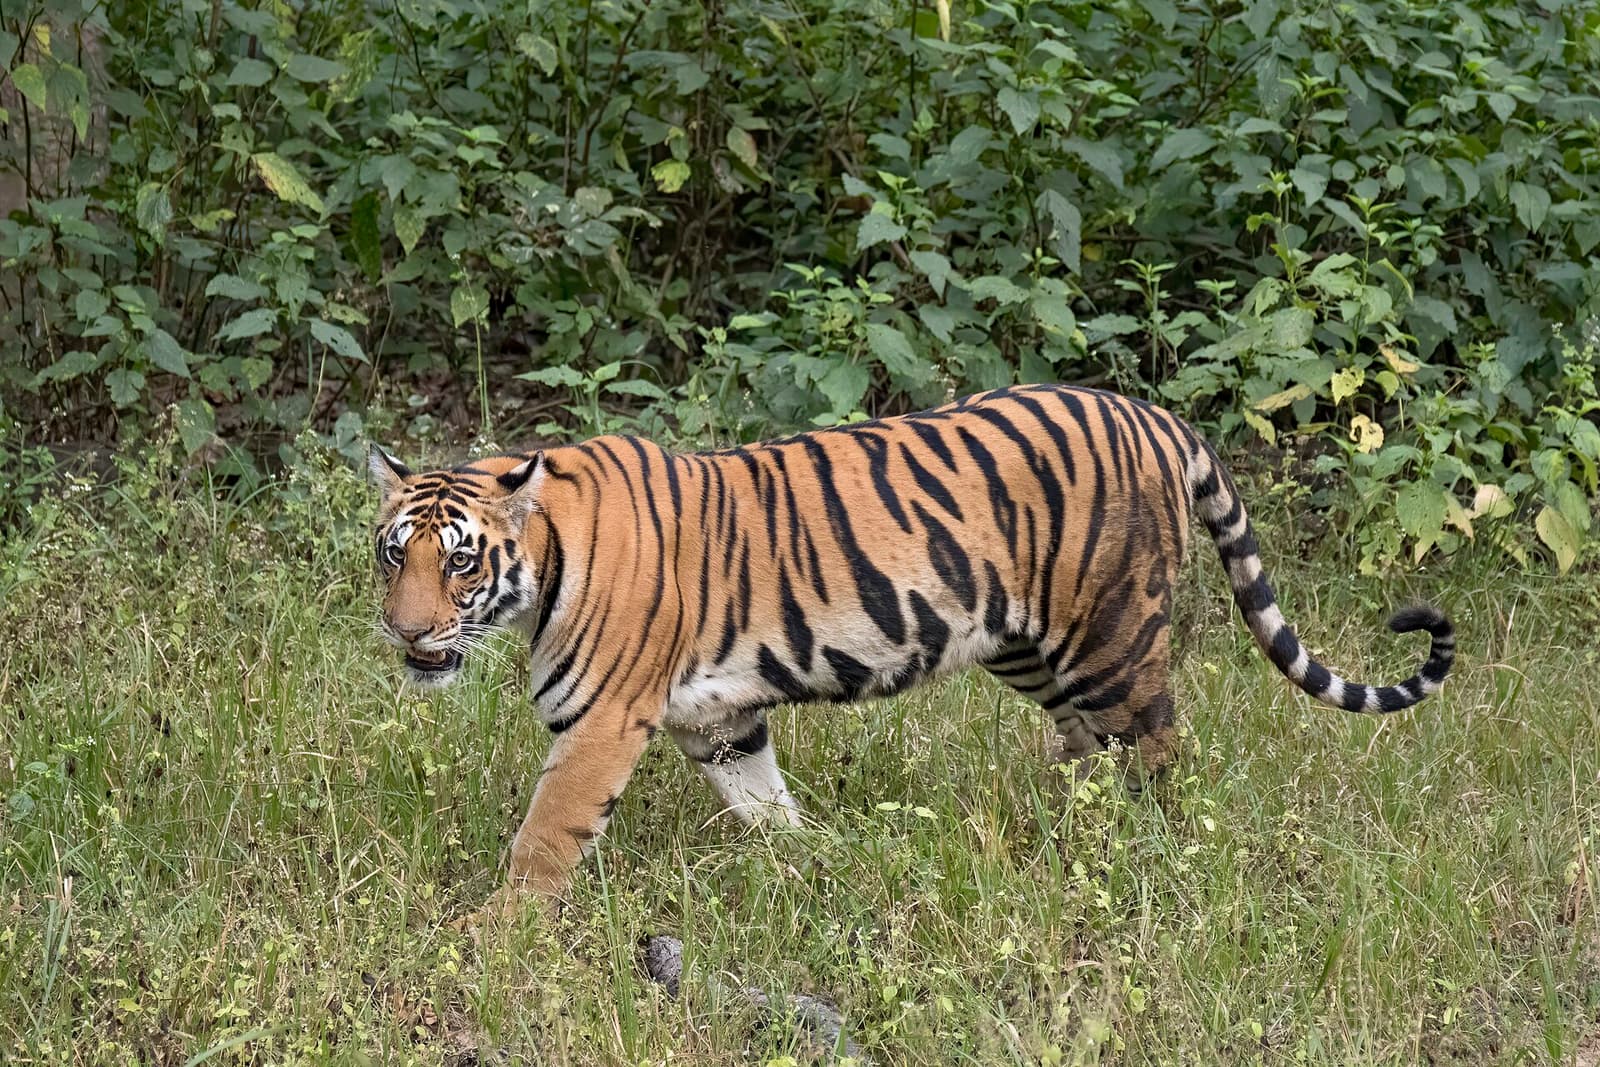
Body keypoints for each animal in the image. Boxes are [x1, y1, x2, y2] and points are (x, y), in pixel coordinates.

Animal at [368, 383, 1454, 918]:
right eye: (393, 553)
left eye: (460, 561)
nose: (408, 630)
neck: (541, 566)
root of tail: (1154, 414)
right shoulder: (721, 719)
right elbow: (766, 804)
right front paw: (812, 865)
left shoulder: (600, 721)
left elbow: (546, 834)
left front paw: (497, 933)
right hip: (1026, 645)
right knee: (1086, 747)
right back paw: (1059, 833)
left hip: (1110, 635)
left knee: (1157, 751)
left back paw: (1156, 857)